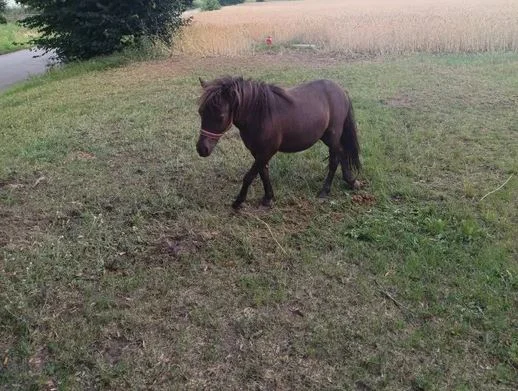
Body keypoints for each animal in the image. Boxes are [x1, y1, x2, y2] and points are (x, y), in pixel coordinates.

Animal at [195, 77, 362, 210]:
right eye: (200, 112)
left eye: (221, 116)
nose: (202, 149)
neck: (259, 114)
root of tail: (341, 90)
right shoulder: (258, 152)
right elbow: (263, 173)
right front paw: (268, 198)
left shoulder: (266, 151)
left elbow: (249, 176)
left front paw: (238, 202)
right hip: (327, 137)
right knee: (342, 154)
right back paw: (351, 181)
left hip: (333, 136)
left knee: (335, 159)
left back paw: (325, 191)